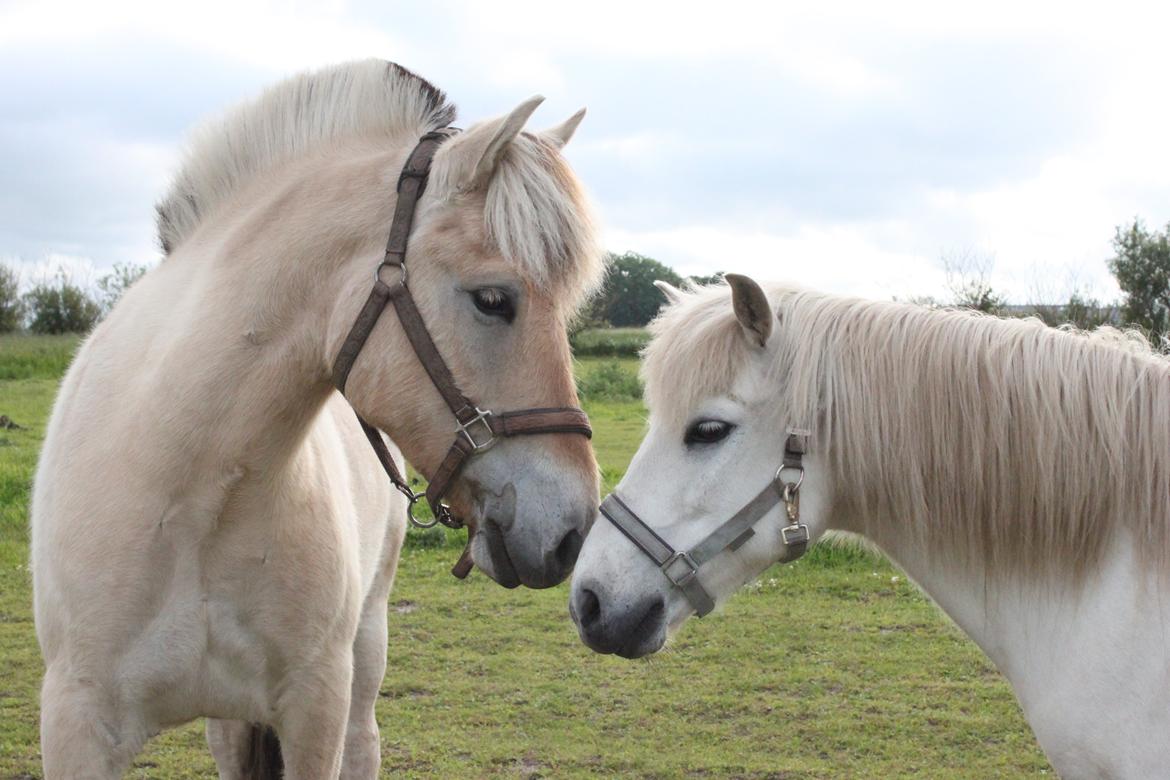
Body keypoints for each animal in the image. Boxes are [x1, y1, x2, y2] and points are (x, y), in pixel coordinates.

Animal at [32, 62, 603, 780]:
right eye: (494, 299)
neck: (189, 496)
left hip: (365, 646)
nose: (573, 532)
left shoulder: (315, 708)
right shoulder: (77, 725)